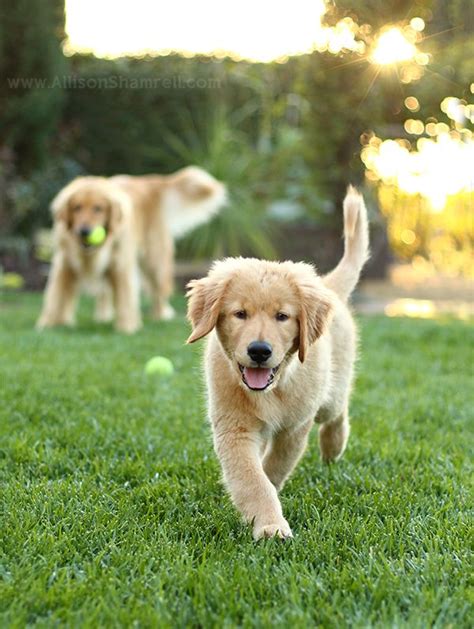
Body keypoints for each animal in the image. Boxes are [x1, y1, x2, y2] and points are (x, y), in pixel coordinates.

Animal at [37, 167, 226, 334]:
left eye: (98, 208)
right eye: (77, 207)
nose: (85, 231)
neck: (92, 253)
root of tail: (149, 181)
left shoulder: (121, 266)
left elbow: (125, 299)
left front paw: (126, 328)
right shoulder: (64, 266)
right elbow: (56, 298)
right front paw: (49, 325)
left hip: (154, 261)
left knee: (159, 291)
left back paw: (160, 316)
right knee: (105, 293)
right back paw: (103, 316)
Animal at [187, 186, 368, 540]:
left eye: (282, 316)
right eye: (239, 314)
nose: (259, 351)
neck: (270, 391)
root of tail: (327, 285)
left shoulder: (295, 428)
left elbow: (271, 470)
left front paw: (269, 521)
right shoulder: (234, 428)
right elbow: (252, 478)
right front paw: (268, 522)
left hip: (328, 394)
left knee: (337, 410)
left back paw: (333, 446)